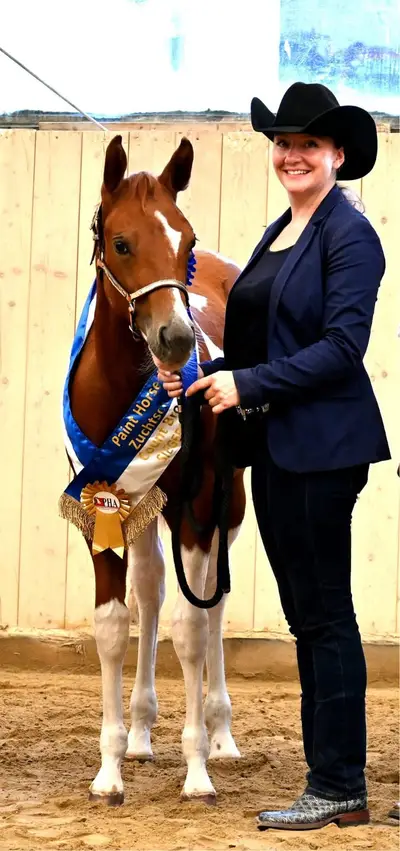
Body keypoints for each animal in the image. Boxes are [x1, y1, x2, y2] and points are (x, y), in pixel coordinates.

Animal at [63, 134, 246, 806]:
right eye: (121, 242)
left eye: (186, 242)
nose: (175, 338)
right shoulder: (101, 504)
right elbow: (115, 625)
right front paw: (110, 768)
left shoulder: (197, 502)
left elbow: (191, 629)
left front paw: (196, 769)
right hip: (143, 506)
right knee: (151, 586)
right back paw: (142, 733)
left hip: (226, 503)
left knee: (213, 601)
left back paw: (220, 736)